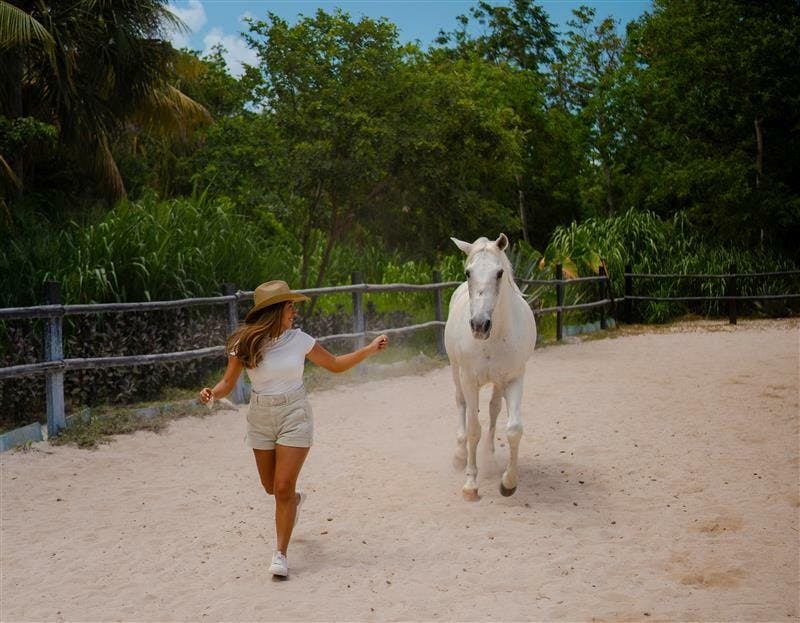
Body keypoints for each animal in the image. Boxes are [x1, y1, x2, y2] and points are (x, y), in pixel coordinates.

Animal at [444, 234, 537, 501]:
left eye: (499, 273)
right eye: (468, 272)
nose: (479, 325)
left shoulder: (514, 379)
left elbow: (514, 429)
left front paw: (508, 483)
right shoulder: (468, 379)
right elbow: (474, 428)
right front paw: (470, 484)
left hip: (498, 382)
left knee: (494, 409)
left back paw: (491, 458)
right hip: (456, 372)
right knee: (462, 405)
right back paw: (459, 455)